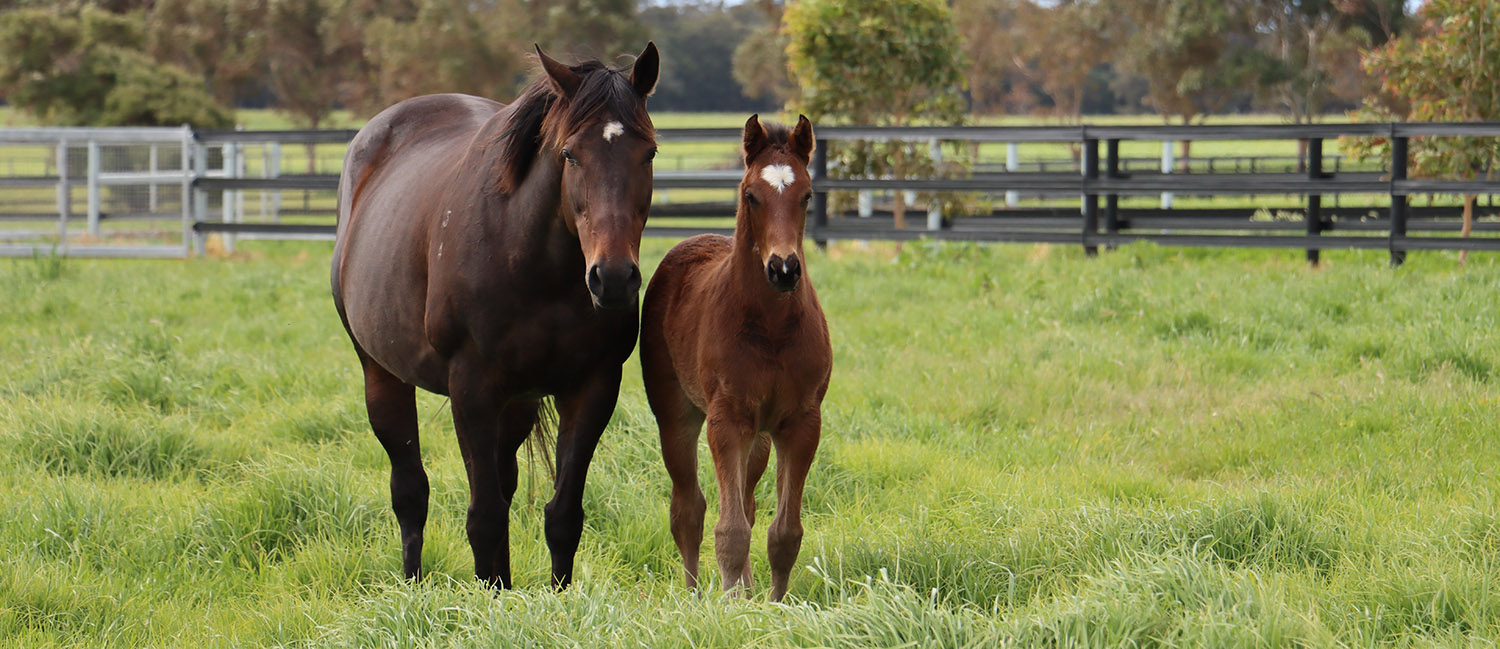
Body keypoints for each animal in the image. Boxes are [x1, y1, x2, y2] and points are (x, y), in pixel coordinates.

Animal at [330, 43, 660, 590]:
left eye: (649, 152)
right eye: (570, 154)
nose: (612, 278)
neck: (532, 262)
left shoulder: (593, 386)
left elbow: (562, 516)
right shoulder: (472, 388)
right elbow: (483, 517)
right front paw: (490, 599)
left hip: (518, 403)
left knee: (502, 483)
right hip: (381, 372)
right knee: (410, 490)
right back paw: (412, 585)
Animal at [639, 114, 832, 601]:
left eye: (807, 195)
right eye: (751, 196)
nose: (784, 269)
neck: (773, 330)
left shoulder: (801, 423)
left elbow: (783, 533)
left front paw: (772, 606)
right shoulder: (725, 419)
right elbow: (729, 531)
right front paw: (729, 608)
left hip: (759, 436)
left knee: (745, 499)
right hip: (677, 417)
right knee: (688, 509)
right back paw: (693, 596)